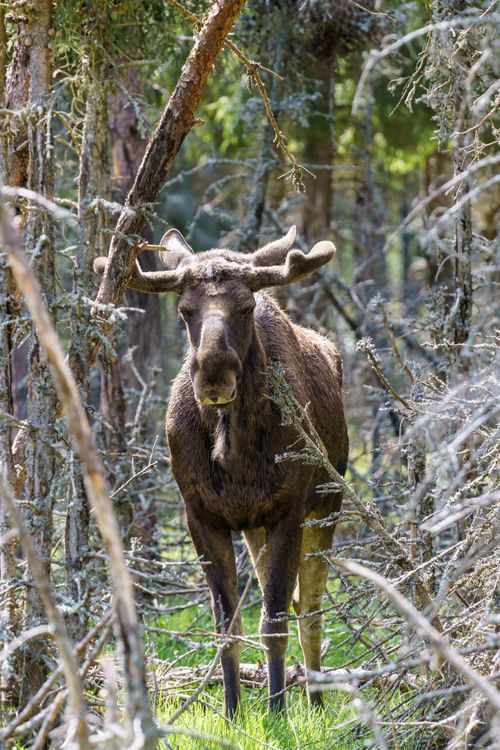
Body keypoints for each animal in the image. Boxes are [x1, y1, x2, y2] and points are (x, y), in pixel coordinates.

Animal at [94, 226, 348, 716]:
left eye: (246, 306)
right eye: (185, 310)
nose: (213, 376)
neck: (235, 455)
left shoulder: (288, 509)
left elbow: (273, 621)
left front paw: (276, 712)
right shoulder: (202, 514)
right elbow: (226, 627)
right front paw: (233, 711)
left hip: (327, 504)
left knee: (309, 607)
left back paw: (315, 701)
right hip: (254, 528)